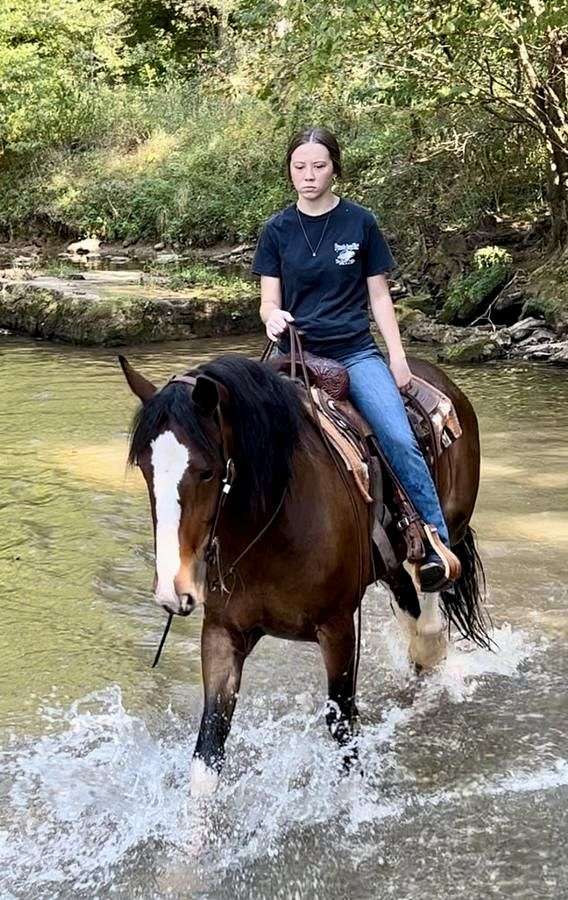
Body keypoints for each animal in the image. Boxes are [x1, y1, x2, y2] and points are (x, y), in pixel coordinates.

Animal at [120, 352, 488, 796]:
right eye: (145, 468)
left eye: (207, 471)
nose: (173, 590)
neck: (272, 522)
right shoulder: (223, 631)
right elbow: (210, 744)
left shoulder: (338, 627)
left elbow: (342, 724)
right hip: (389, 562)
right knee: (408, 600)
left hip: (451, 523)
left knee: (433, 589)